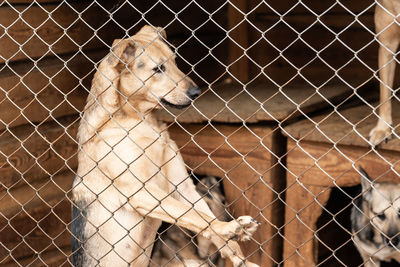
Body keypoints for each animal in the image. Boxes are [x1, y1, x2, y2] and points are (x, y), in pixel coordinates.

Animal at [70, 25, 260, 267]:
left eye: (174, 61)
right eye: (158, 68)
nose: (196, 93)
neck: (142, 122)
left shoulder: (182, 187)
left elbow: (201, 214)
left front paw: (236, 252)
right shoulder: (142, 192)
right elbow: (195, 216)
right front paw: (229, 227)